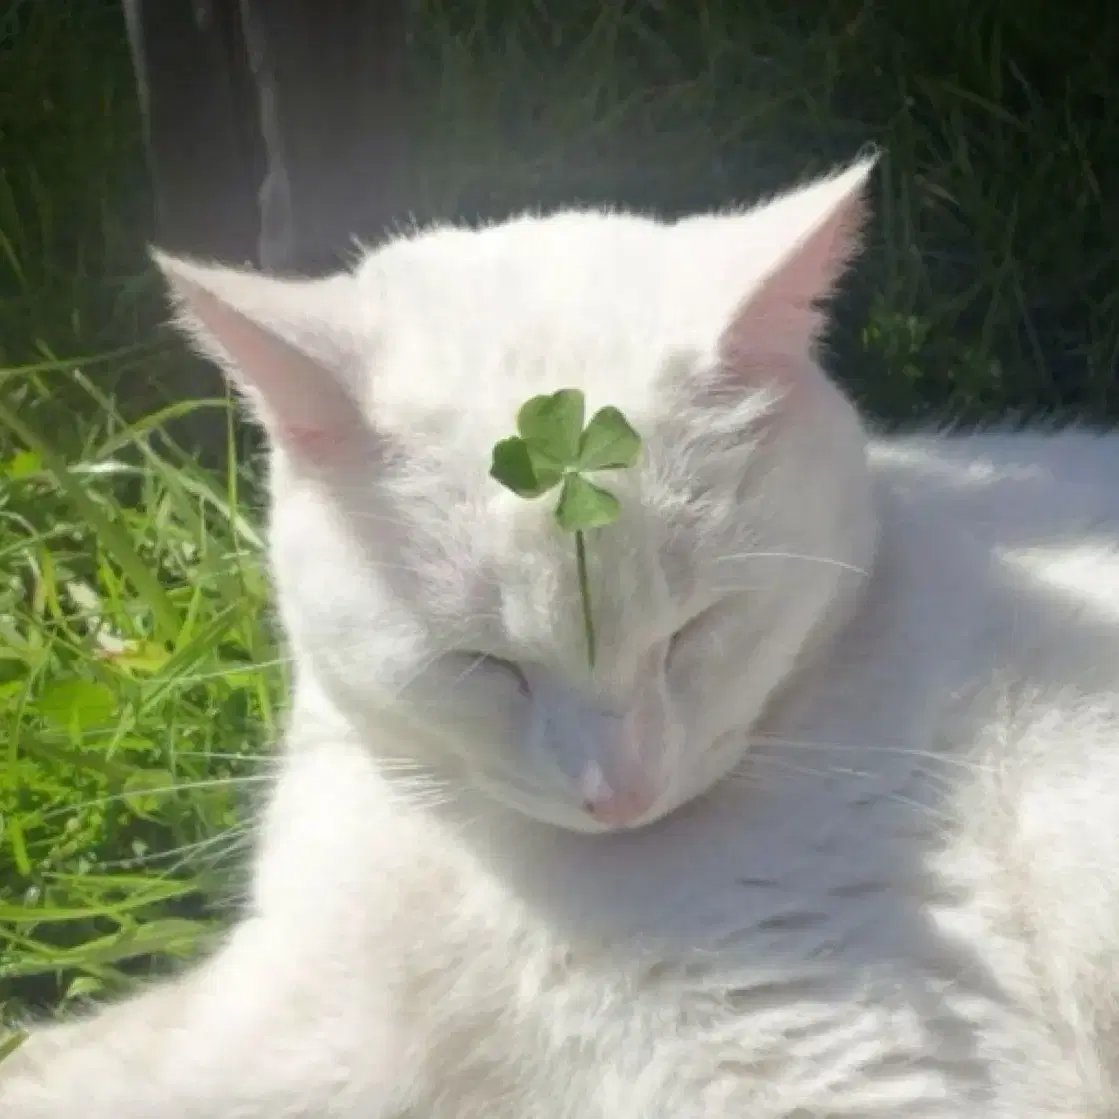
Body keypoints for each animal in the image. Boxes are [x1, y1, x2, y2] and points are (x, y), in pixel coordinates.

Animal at [6, 160, 1119, 1119]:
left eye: (693, 632)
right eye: (485, 663)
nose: (617, 794)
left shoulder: (857, 1056)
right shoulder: (284, 1021)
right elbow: (70, 1061)